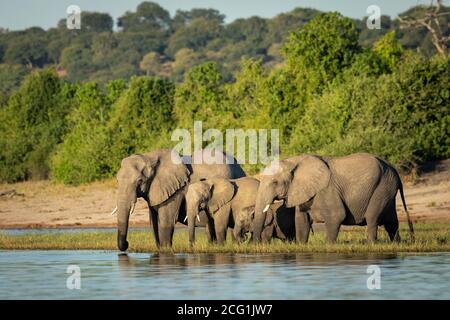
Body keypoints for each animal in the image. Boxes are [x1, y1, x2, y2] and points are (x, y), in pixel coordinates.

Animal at [112, 149, 246, 251]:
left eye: (140, 181)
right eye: (117, 180)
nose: (127, 243)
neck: (150, 157)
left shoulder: (175, 191)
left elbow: (166, 220)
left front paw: (166, 250)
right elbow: (154, 222)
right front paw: (160, 249)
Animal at [251, 152, 414, 242]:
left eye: (275, 182)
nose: (256, 243)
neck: (295, 160)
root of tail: (395, 170)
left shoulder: (326, 189)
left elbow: (337, 216)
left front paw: (328, 245)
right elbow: (302, 221)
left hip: (382, 187)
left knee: (372, 218)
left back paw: (371, 244)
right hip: (387, 189)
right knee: (392, 222)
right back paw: (396, 244)